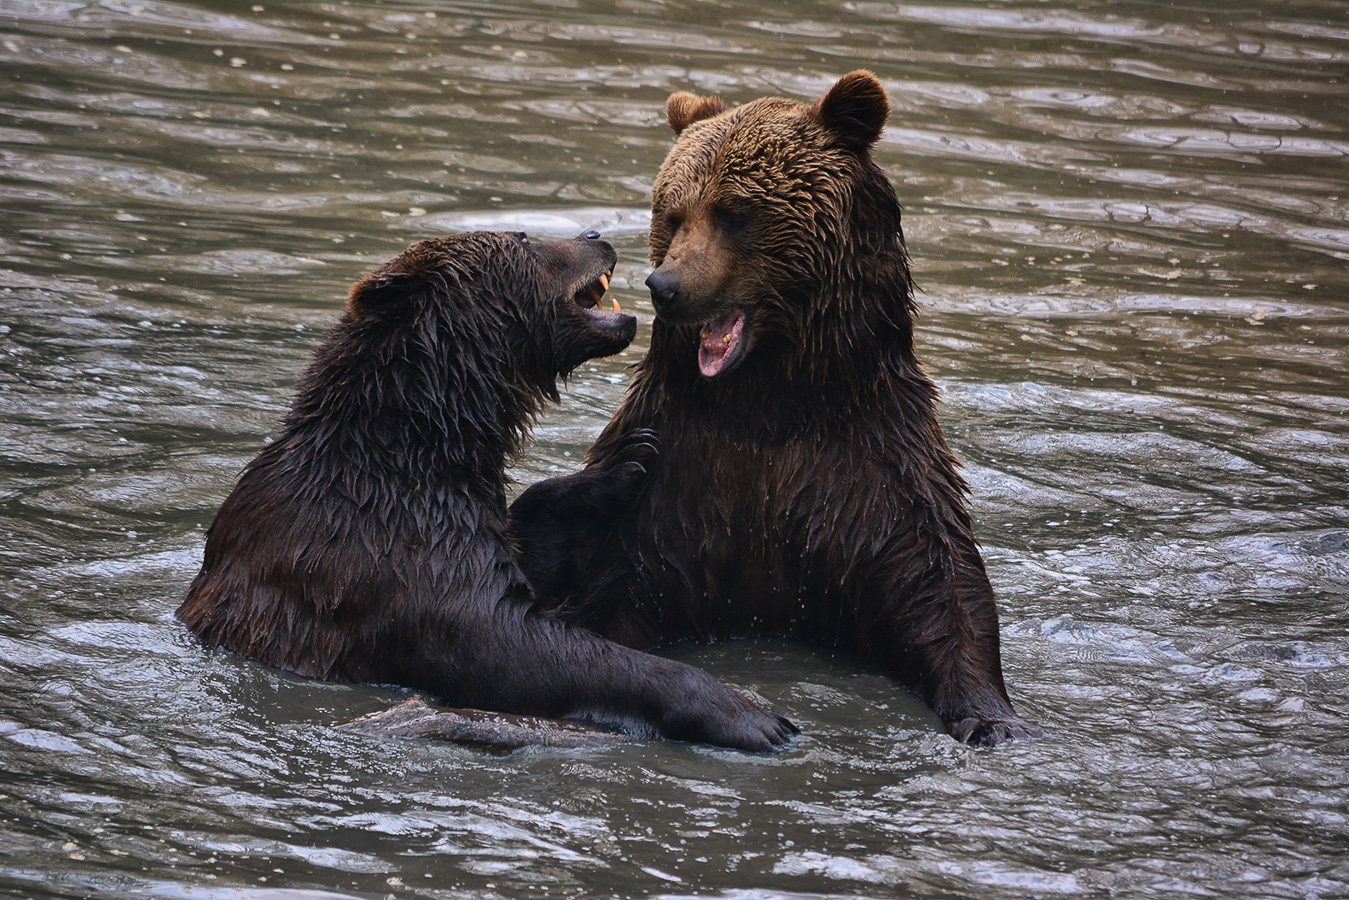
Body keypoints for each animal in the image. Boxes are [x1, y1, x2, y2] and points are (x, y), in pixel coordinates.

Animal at [174, 229, 793, 750]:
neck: (418, 450)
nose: (595, 234)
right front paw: (751, 714)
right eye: (522, 238)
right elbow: (512, 646)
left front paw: (623, 462)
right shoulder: (391, 553)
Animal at [509, 72, 1036, 744]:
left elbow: (937, 590)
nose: (665, 286)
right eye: (673, 214)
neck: (769, 403)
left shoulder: (874, 474)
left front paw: (993, 719)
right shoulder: (672, 489)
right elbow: (604, 597)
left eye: (733, 212)